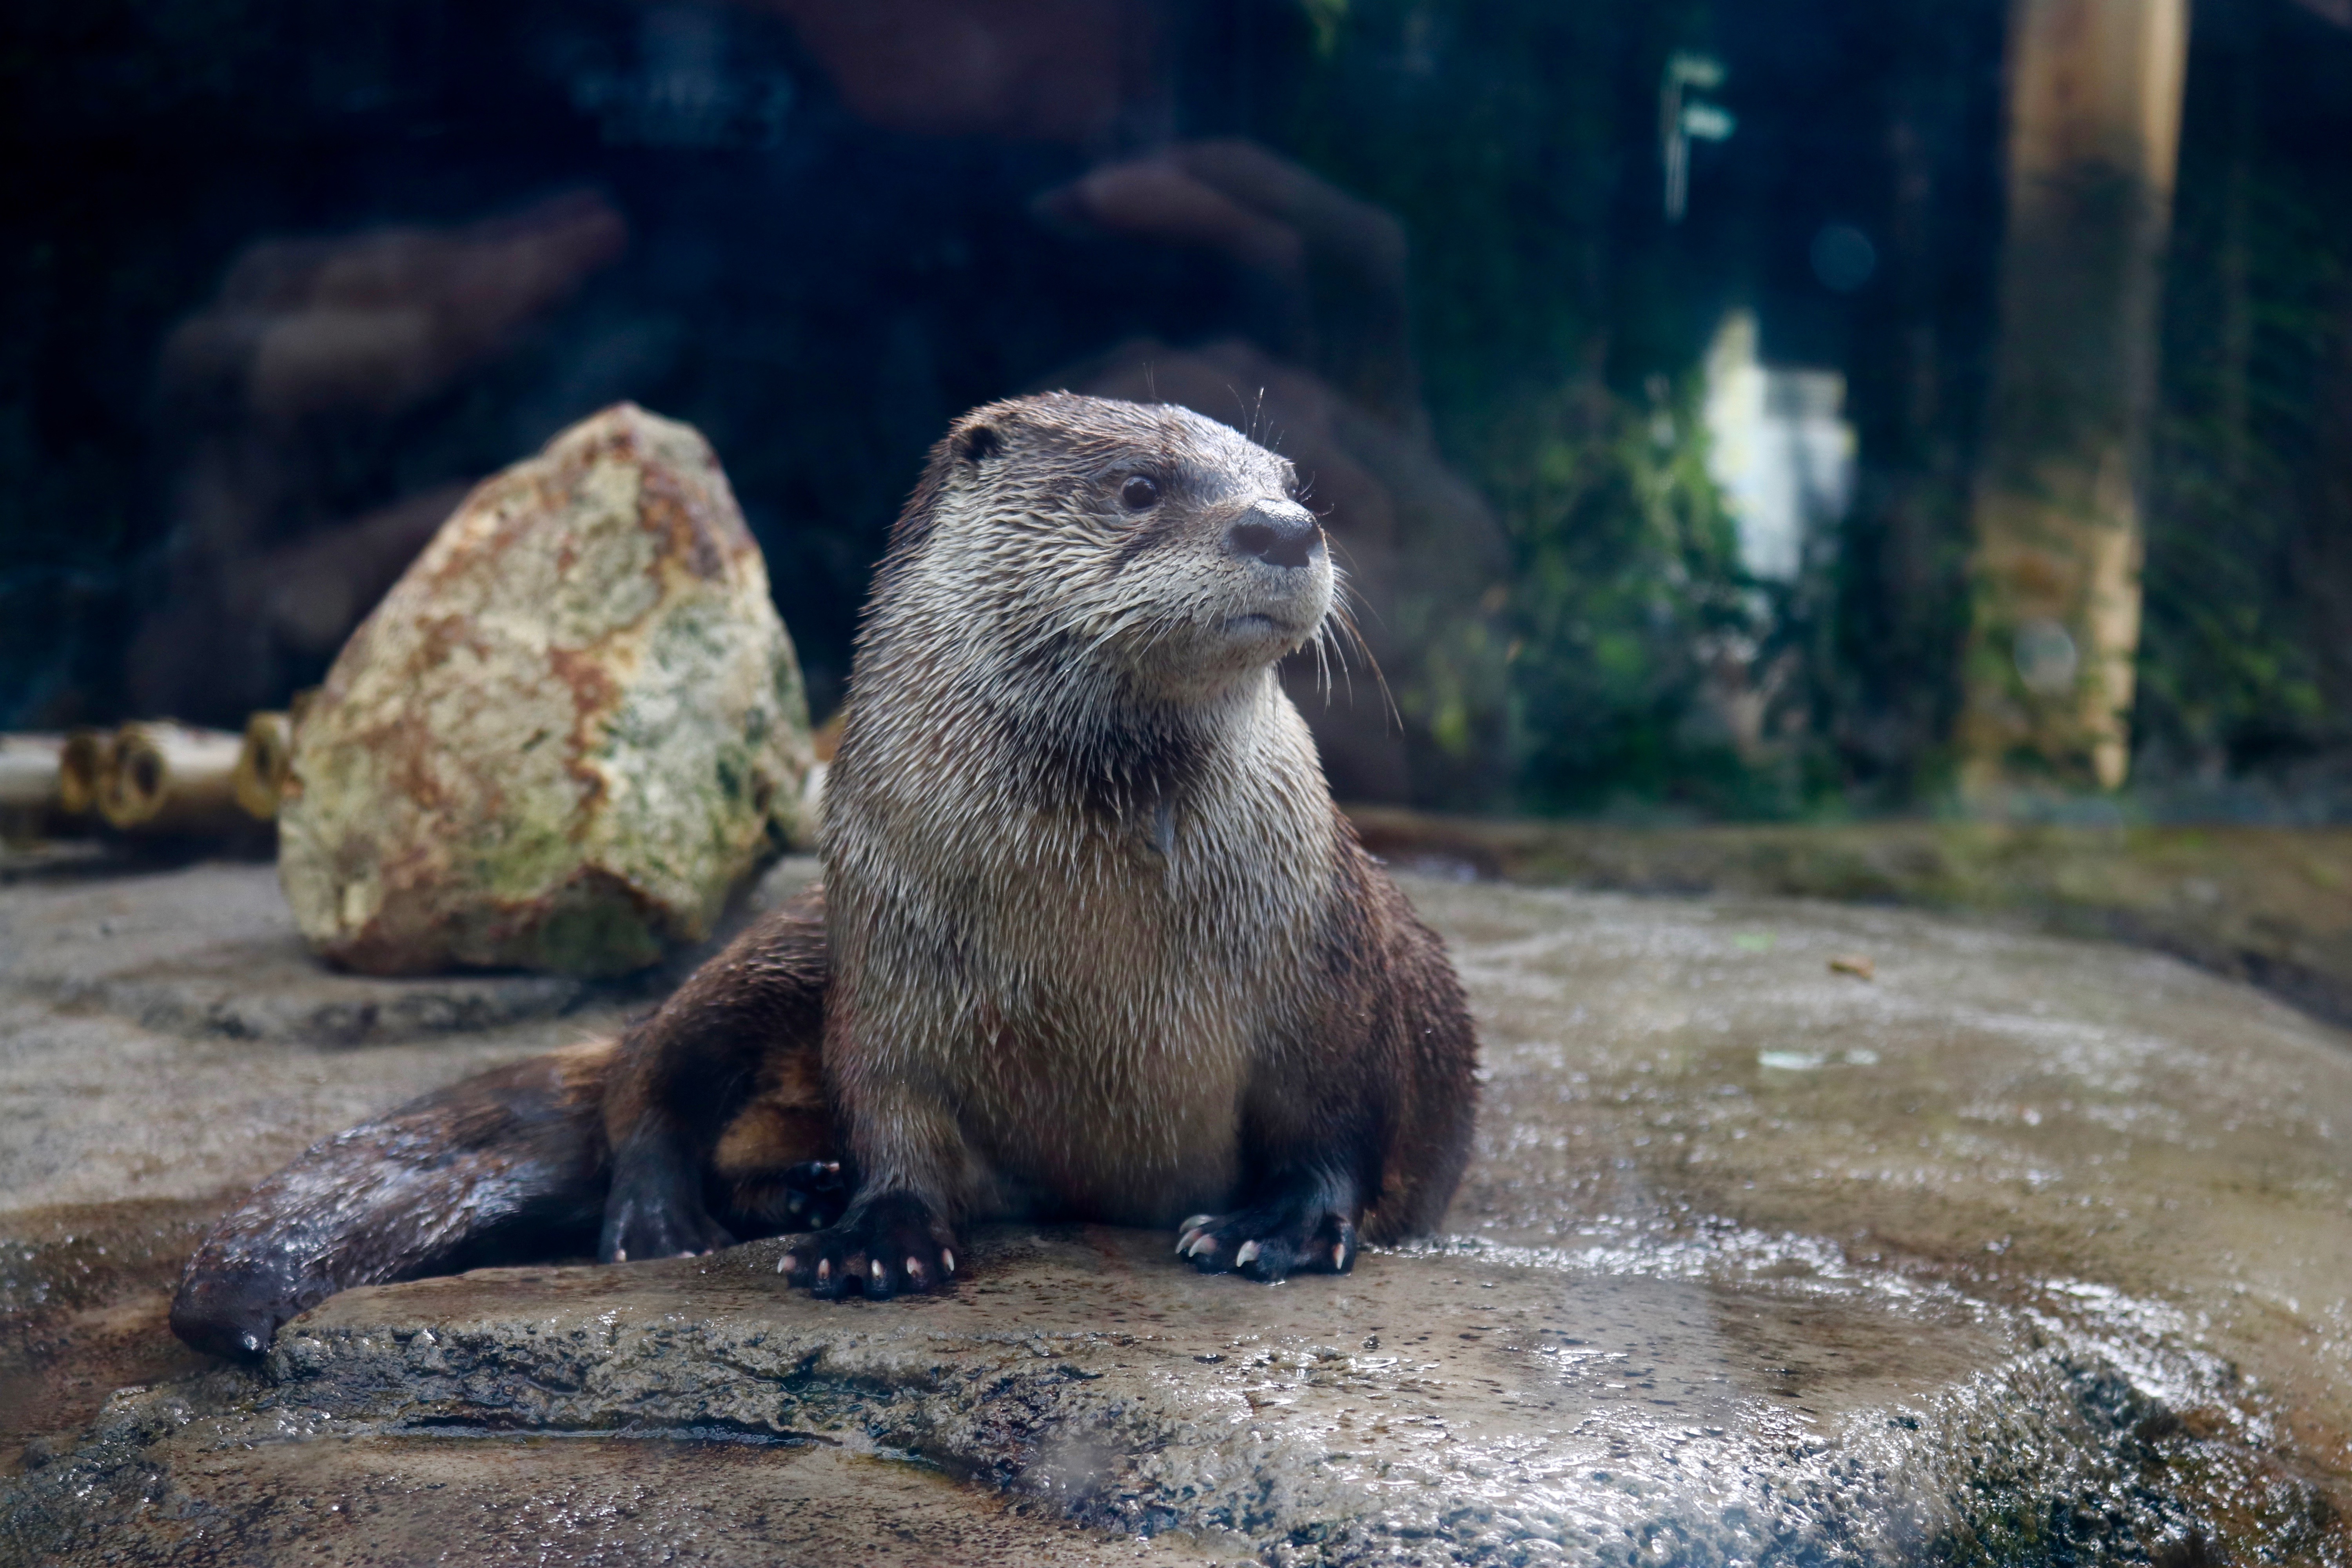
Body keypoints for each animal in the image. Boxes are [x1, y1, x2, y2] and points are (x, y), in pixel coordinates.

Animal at [174, 385, 1477, 1354]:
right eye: (1139, 488)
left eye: (1288, 481)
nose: (1283, 529)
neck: (1095, 935)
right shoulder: (891, 961)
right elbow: (893, 1110)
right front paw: (876, 1238)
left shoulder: (1325, 959)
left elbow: (1338, 1112)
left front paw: (1275, 1230)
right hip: (785, 945)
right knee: (645, 1079)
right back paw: (674, 1217)